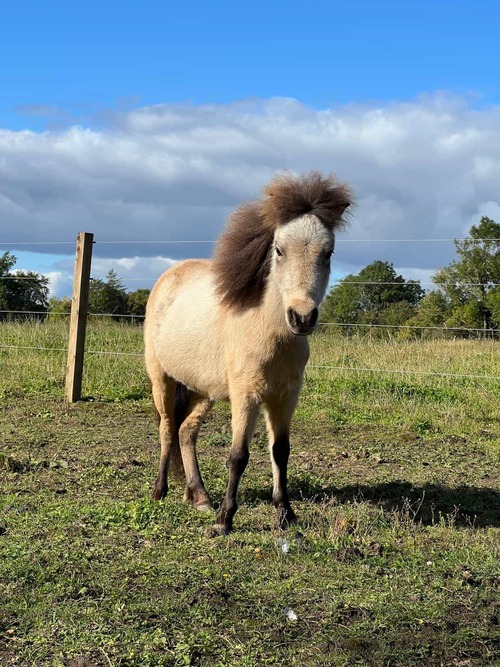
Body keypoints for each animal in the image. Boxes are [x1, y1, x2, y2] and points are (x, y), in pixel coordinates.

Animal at [144, 171, 351, 535]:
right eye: (279, 250)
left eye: (328, 252)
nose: (302, 317)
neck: (269, 335)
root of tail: (167, 279)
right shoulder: (246, 396)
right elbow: (238, 456)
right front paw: (224, 520)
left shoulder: (284, 397)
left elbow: (280, 451)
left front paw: (285, 514)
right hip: (162, 379)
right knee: (168, 429)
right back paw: (160, 491)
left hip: (203, 390)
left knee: (186, 432)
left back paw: (199, 496)